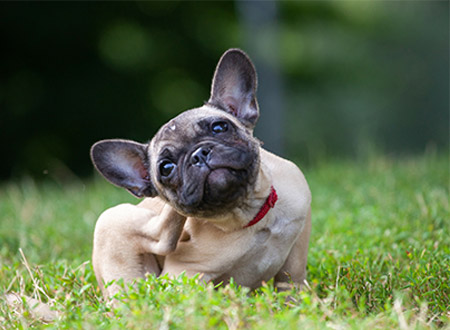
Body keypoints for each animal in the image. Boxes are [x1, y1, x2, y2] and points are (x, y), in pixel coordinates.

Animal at [91, 49, 310, 300]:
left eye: (219, 127)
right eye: (166, 168)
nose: (199, 155)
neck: (250, 215)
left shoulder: (299, 236)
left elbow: (291, 277)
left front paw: (293, 301)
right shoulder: (182, 275)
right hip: (112, 223)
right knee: (160, 238)